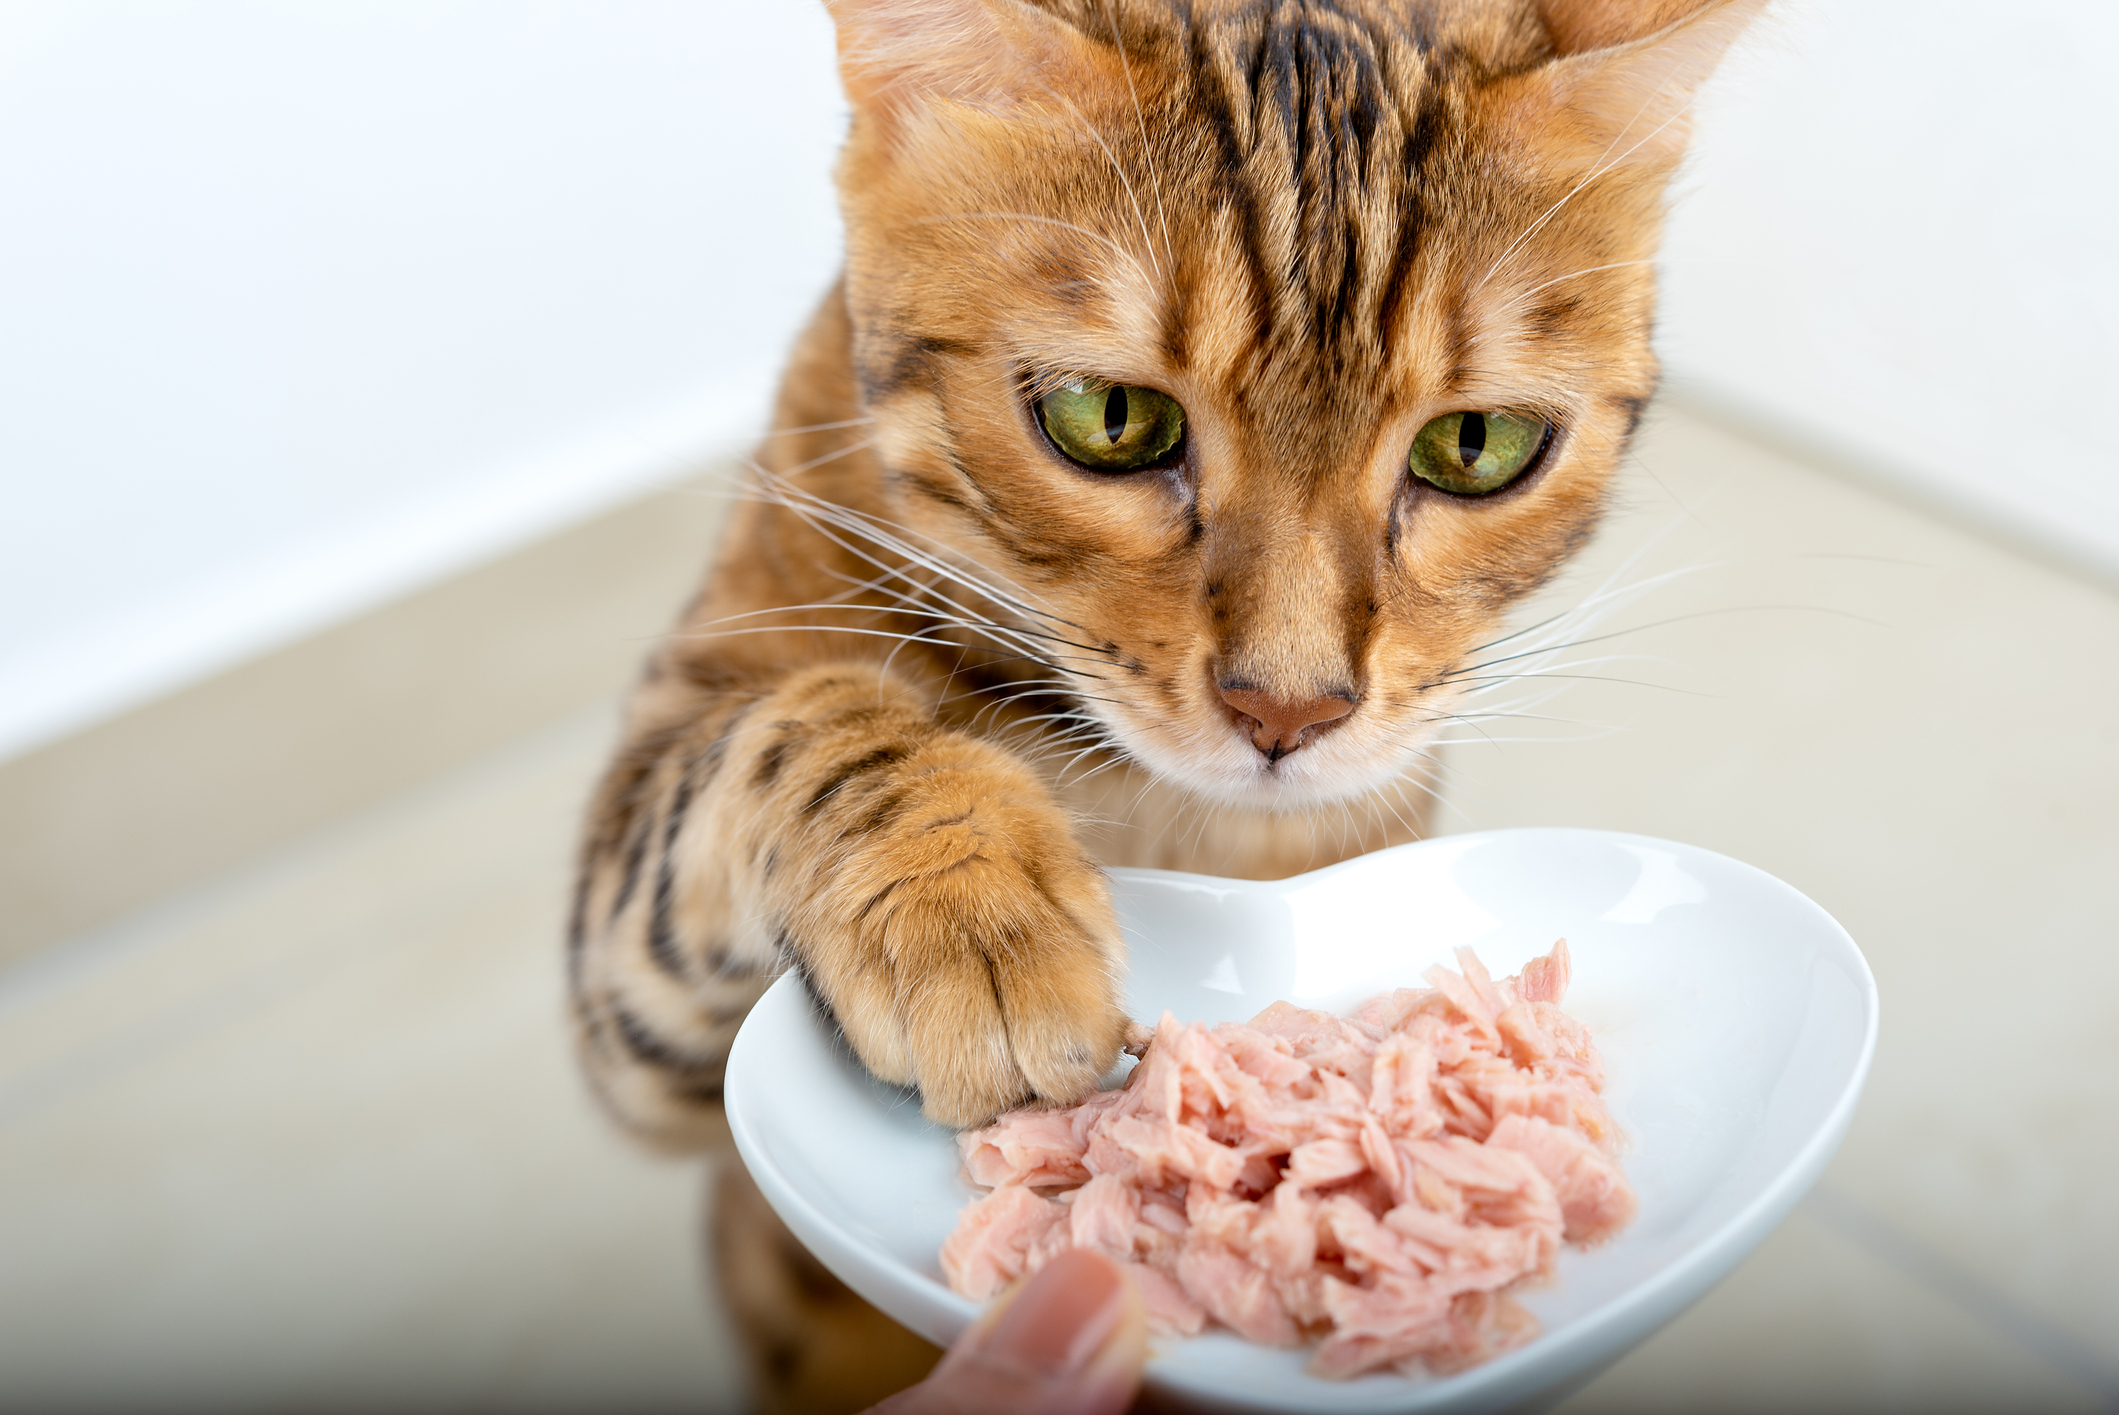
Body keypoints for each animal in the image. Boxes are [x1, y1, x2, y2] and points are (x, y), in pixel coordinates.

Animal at [572, 0, 1763, 1406]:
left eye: (1475, 447)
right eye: (1110, 418)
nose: (1287, 711)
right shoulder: (631, 1011)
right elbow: (800, 722)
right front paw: (965, 896)